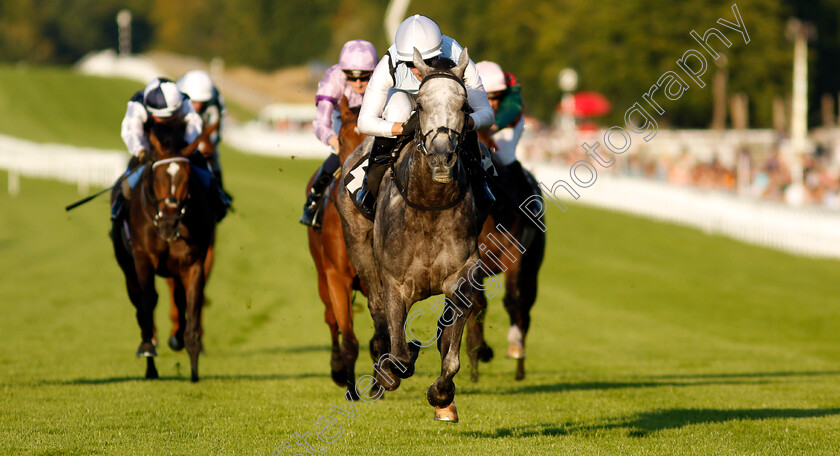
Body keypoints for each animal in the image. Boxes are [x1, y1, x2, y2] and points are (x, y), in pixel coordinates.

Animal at [110, 118, 217, 382]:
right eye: (156, 178)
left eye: (186, 179)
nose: (169, 223)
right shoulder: (143, 259)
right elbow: (148, 301)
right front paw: (149, 349)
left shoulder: (193, 261)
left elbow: (191, 302)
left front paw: (193, 363)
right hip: (128, 269)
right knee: (141, 306)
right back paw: (150, 361)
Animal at [338, 48, 486, 422]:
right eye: (420, 103)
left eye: (464, 105)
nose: (442, 157)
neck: (429, 205)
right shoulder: (396, 283)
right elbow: (401, 355)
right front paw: (387, 371)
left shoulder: (463, 276)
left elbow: (450, 353)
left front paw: (442, 396)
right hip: (358, 246)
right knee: (376, 308)